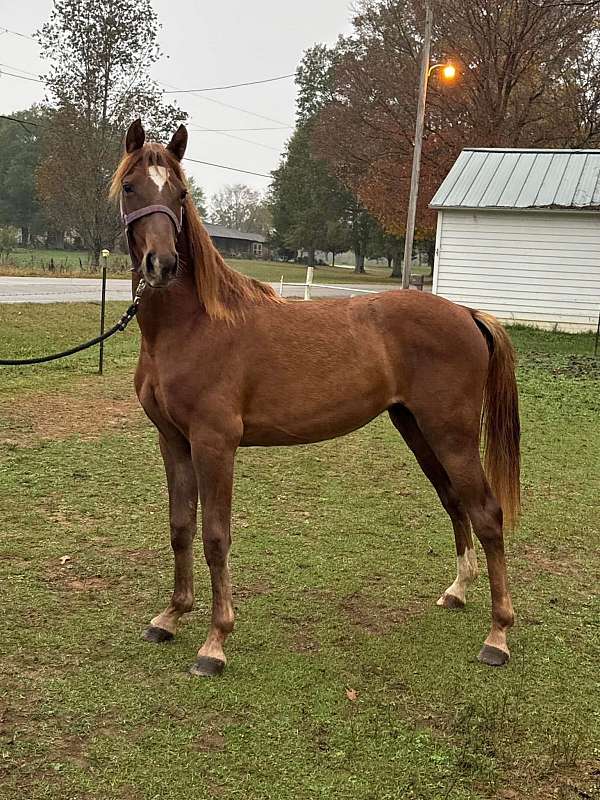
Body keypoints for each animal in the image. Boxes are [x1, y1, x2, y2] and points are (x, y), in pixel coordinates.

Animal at [111, 119, 520, 677]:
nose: (163, 264)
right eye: (132, 188)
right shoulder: (172, 441)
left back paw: (498, 635)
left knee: (487, 513)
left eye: (180, 194)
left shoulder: (215, 445)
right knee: (455, 501)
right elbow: (180, 527)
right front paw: (171, 616)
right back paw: (457, 591)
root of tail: (466, 313)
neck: (192, 326)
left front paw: (215, 642)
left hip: (451, 435)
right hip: (418, 430)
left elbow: (216, 535)